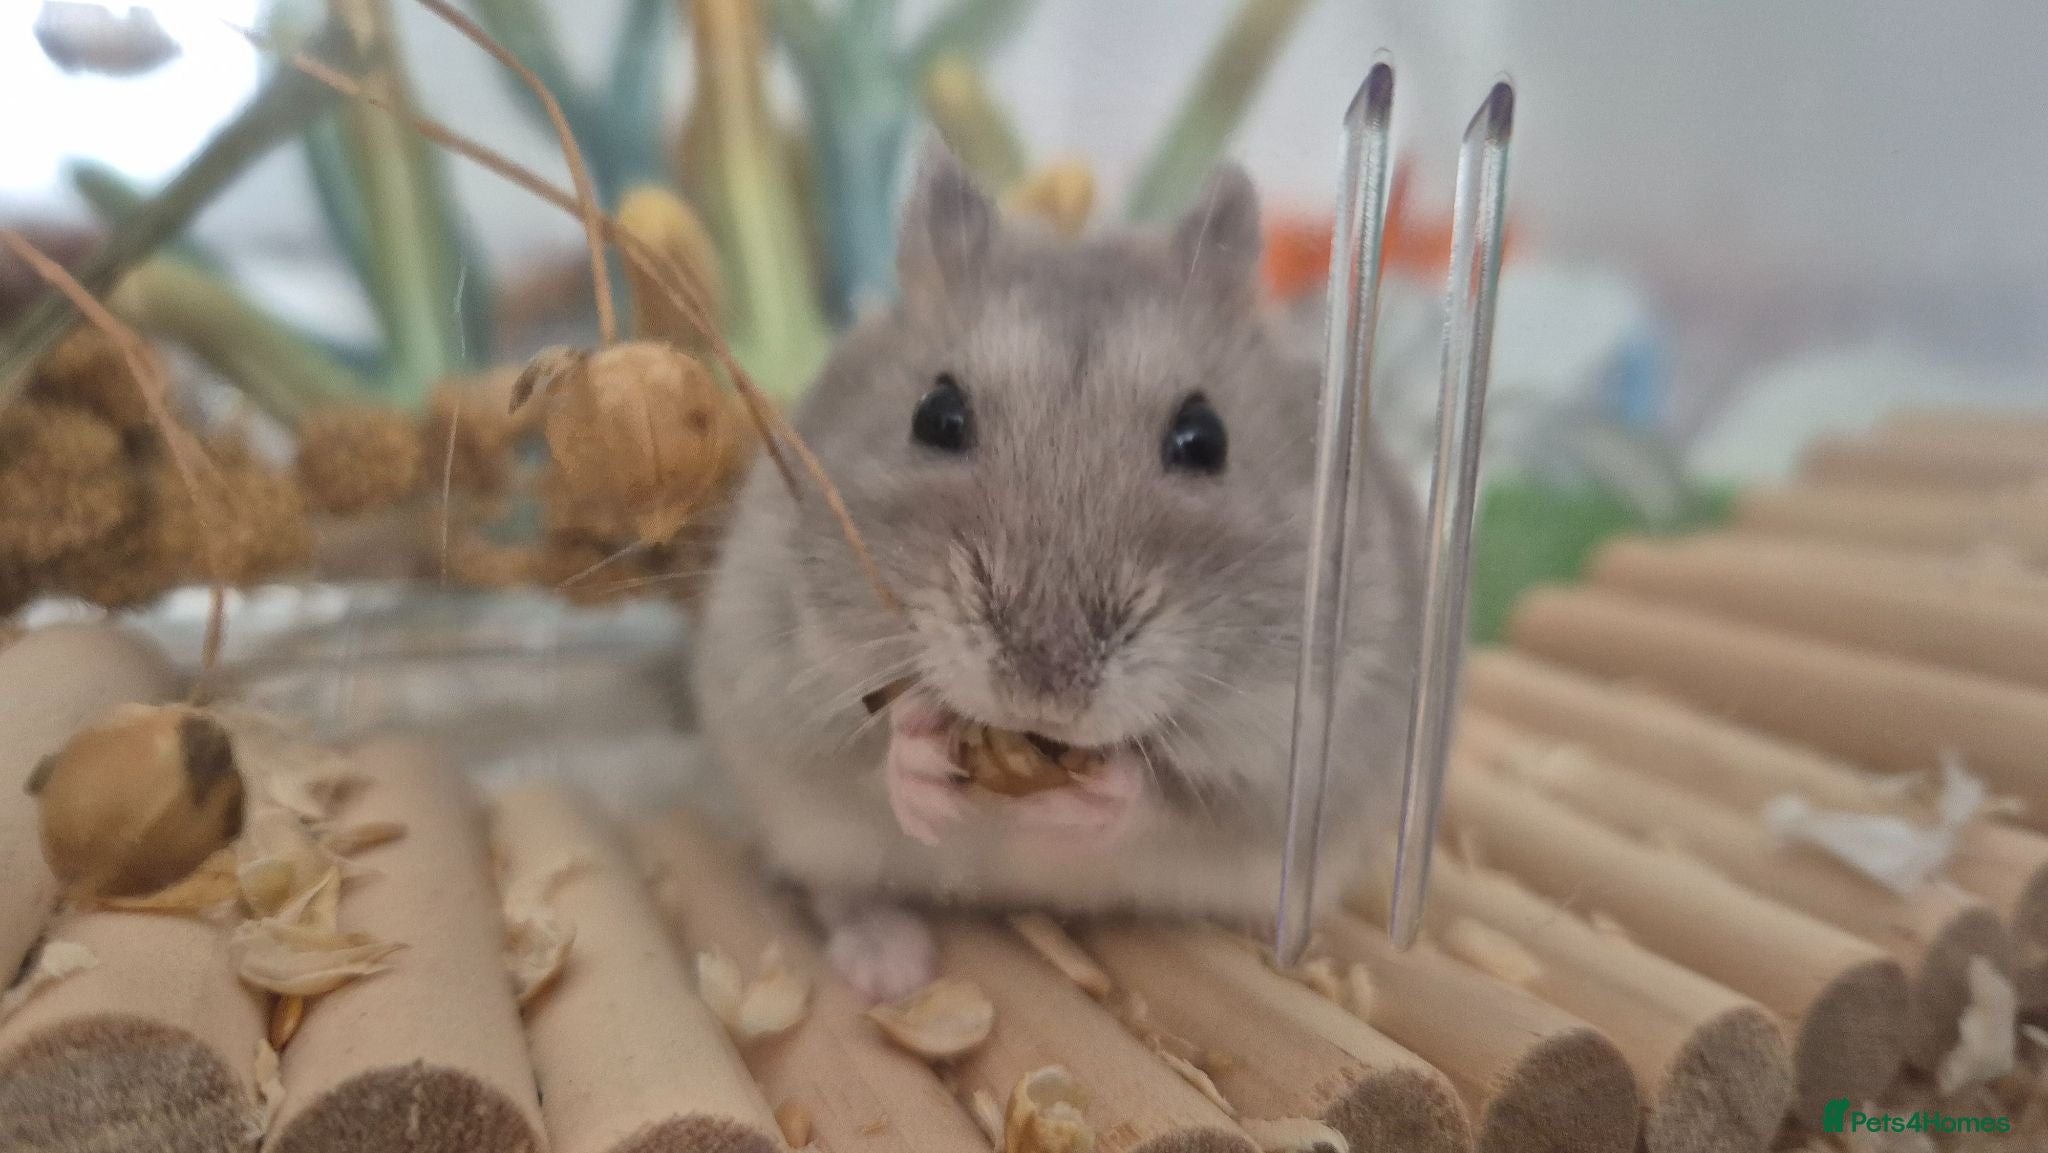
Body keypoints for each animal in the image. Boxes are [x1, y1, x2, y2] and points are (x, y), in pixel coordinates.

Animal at [692, 143, 1423, 1002]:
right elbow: (865, 755)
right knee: (841, 890)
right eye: (936, 416)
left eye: (1204, 438)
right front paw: (920, 758)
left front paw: (1089, 800)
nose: (1045, 689)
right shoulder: (781, 683)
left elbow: (1171, 794)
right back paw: (890, 967)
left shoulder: (1292, 765)